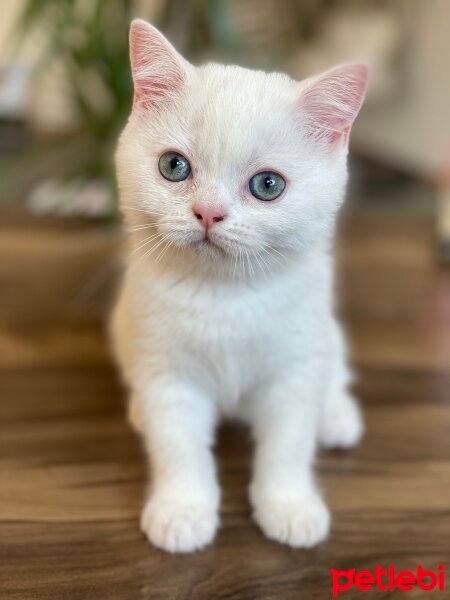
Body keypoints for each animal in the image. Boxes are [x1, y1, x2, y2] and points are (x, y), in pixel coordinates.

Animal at [110, 18, 368, 552]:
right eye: (174, 166)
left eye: (268, 185)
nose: (209, 212)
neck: (224, 295)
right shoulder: (169, 375)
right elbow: (178, 445)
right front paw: (182, 510)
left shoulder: (293, 370)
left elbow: (288, 443)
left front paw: (290, 506)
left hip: (322, 333)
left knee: (332, 370)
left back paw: (335, 416)